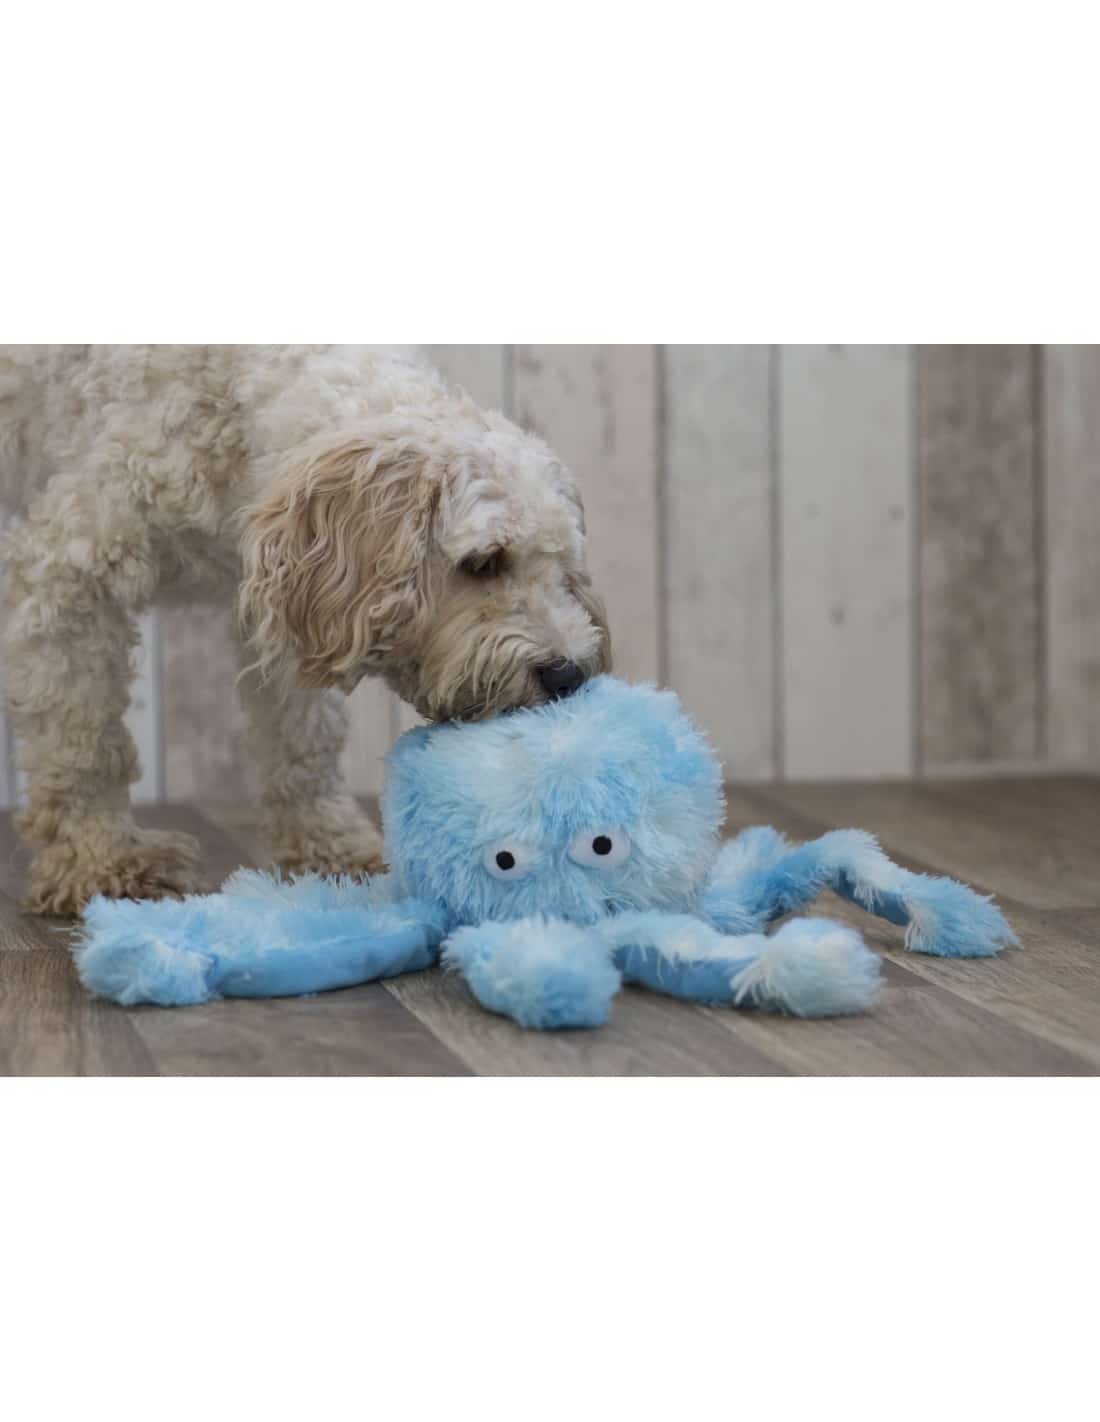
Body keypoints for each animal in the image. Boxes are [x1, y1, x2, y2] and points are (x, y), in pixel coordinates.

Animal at [0, 345, 610, 915]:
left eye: (564, 573)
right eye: (484, 562)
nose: (566, 675)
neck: (230, 406)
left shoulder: (284, 601)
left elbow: (305, 737)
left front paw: (329, 843)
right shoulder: (68, 577)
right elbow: (85, 742)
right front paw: (103, 861)